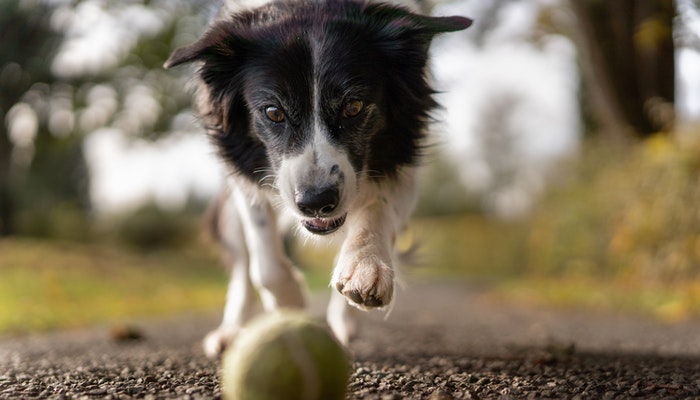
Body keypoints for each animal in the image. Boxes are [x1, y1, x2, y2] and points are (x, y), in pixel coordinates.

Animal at [165, 0, 470, 358]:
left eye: (353, 106)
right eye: (273, 112)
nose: (316, 203)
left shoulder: (403, 160)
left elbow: (377, 208)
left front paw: (365, 267)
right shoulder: (245, 175)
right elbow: (264, 261)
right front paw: (291, 305)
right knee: (242, 266)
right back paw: (230, 332)